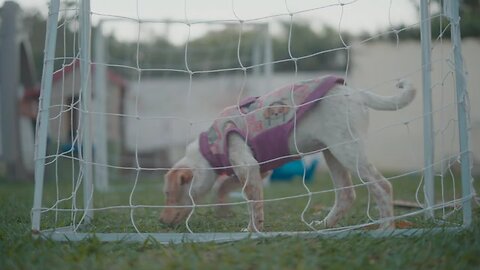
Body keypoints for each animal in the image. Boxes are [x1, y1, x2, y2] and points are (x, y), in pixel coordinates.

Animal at [159, 76, 414, 232]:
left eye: (168, 194)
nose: (160, 221)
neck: (209, 148)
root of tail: (357, 93)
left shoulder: (247, 166)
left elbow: (253, 203)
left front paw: (252, 231)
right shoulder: (256, 171)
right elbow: (227, 188)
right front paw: (223, 209)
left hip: (347, 150)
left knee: (382, 187)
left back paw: (385, 229)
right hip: (332, 152)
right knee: (346, 194)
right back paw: (325, 225)